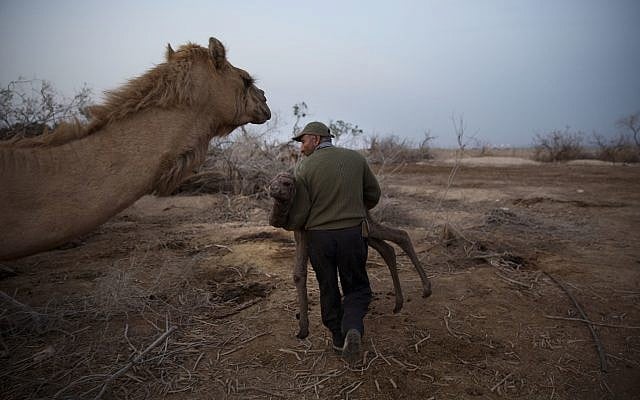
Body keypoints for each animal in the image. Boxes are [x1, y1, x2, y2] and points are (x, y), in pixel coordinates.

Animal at [268, 172, 432, 339]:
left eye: (287, 183)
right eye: (271, 182)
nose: (273, 189)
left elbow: (301, 273)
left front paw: (303, 328)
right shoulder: (300, 231)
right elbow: (298, 274)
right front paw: (303, 329)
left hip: (366, 220)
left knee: (401, 235)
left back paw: (425, 290)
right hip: (365, 228)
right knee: (387, 248)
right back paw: (398, 303)